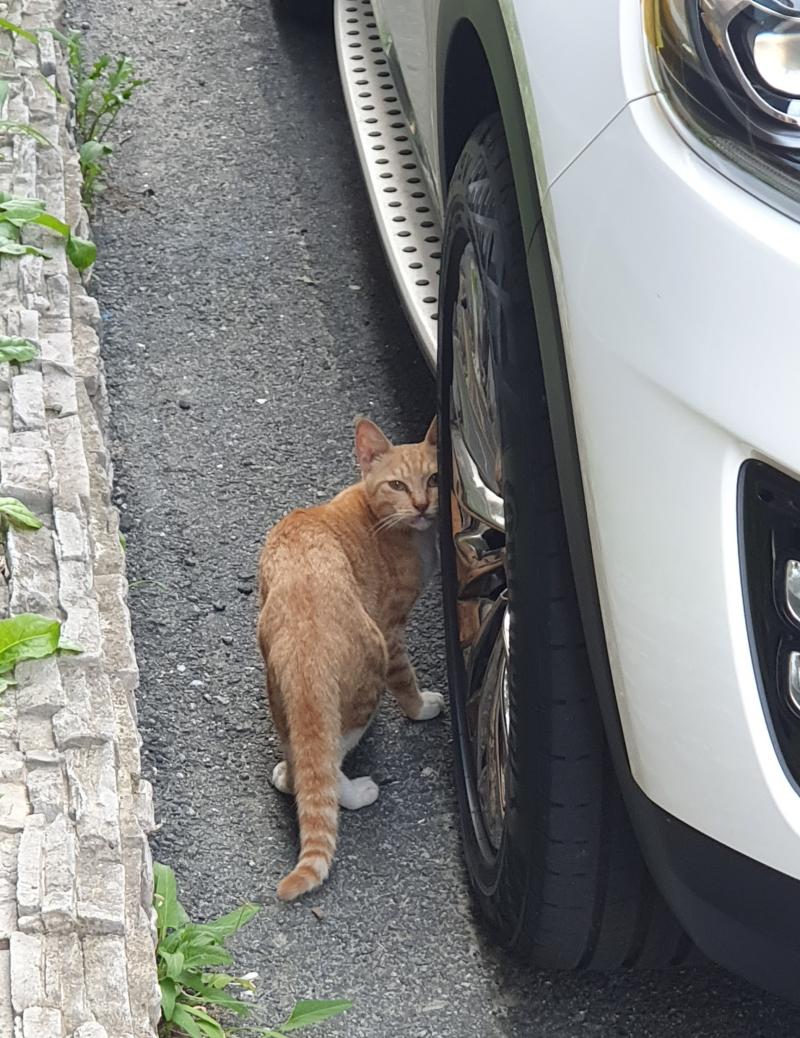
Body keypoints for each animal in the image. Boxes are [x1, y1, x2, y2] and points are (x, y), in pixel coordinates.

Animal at [258, 413, 442, 900]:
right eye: (397, 484)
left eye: (435, 479)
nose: (422, 505)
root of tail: (305, 635)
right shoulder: (393, 630)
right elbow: (407, 681)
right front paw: (422, 707)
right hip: (370, 665)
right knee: (331, 757)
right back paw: (358, 792)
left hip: (278, 689)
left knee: (303, 758)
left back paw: (287, 774)